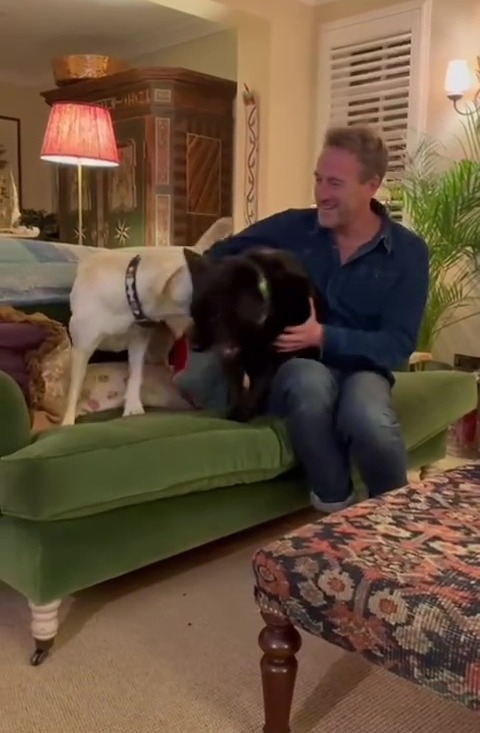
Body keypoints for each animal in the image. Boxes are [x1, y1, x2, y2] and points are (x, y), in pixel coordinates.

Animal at [61, 216, 233, 424]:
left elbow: (136, 375)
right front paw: (66, 421)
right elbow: (74, 388)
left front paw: (133, 408)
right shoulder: (82, 348)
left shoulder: (138, 342)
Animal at [183, 246, 322, 420]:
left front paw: (243, 413)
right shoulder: (233, 357)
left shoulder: (273, 354)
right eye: (193, 314)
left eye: (215, 316)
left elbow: (259, 385)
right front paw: (235, 408)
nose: (193, 345)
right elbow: (235, 384)